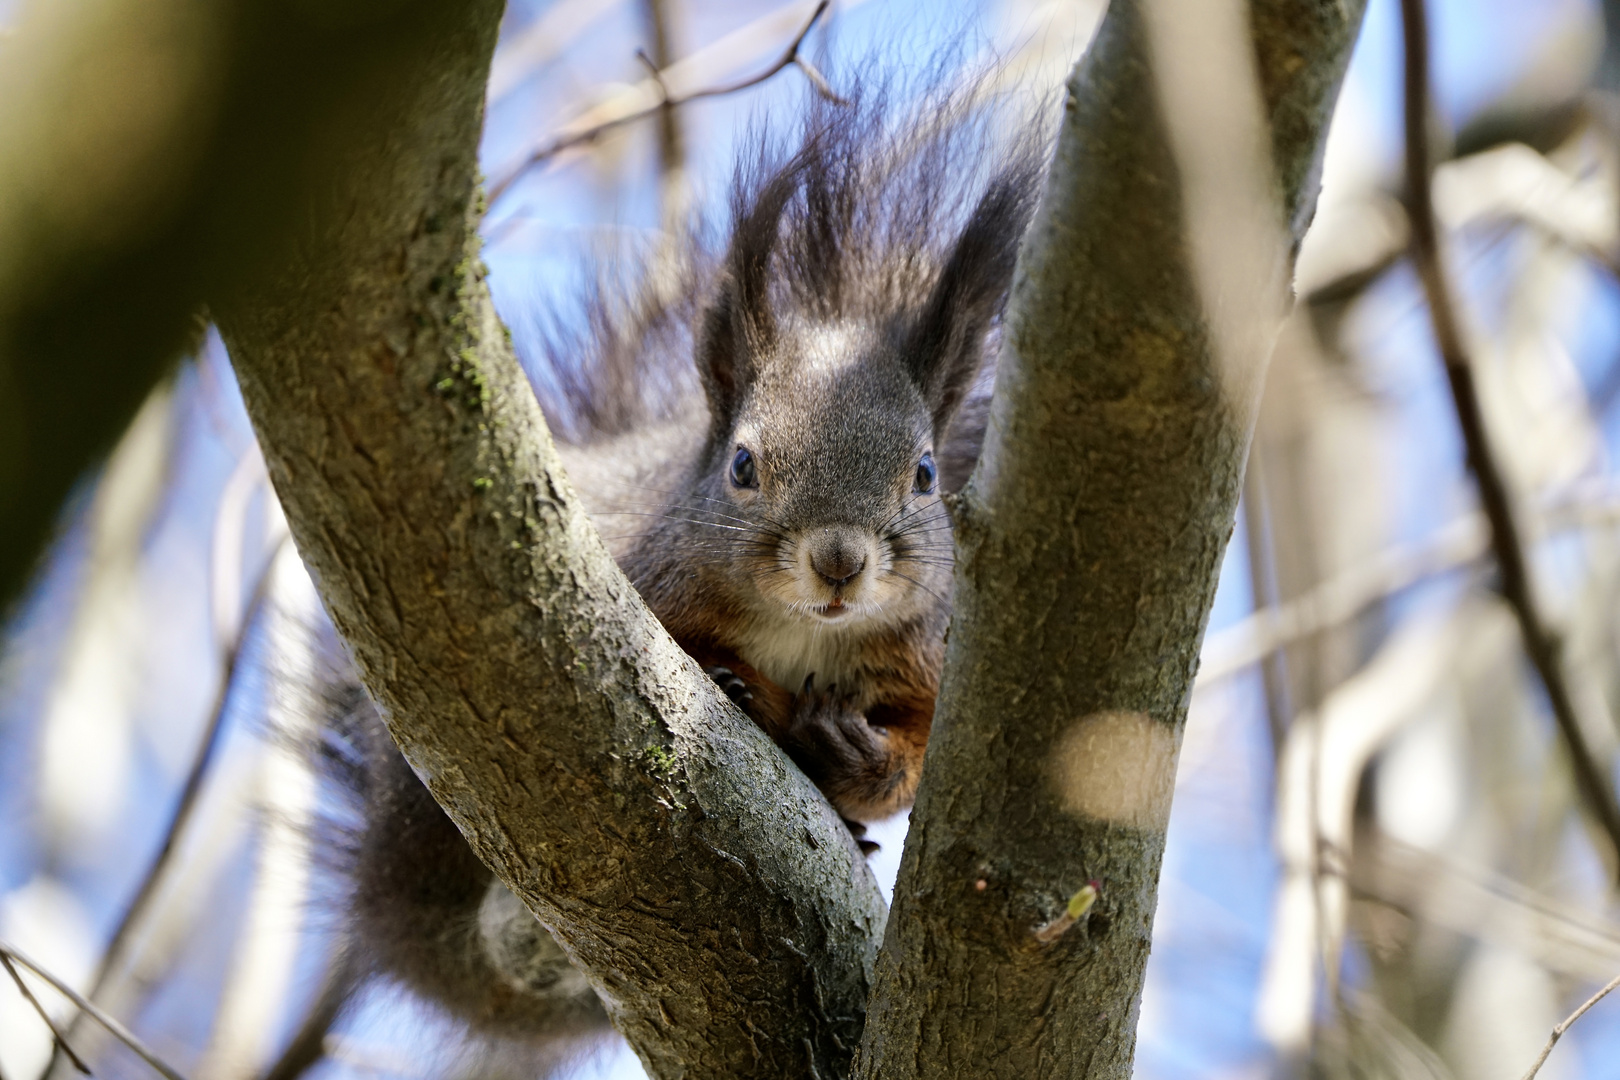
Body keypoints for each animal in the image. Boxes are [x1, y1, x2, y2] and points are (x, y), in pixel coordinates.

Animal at [296, 74, 1043, 1075]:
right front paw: (732, 688)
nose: (840, 561)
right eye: (742, 466)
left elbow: (917, 760)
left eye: (925, 474)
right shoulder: (645, 586)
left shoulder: (926, 664)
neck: (805, 631)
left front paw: (858, 759)